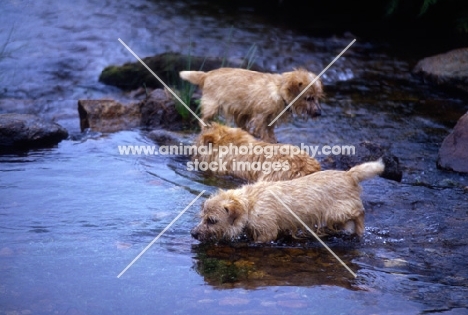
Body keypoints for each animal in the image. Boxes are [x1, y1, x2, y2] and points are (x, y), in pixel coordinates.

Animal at [179, 69, 322, 144]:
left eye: (317, 97)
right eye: (308, 98)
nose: (319, 113)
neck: (278, 90)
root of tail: (207, 74)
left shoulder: (270, 119)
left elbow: (270, 131)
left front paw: (273, 141)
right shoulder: (260, 117)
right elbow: (263, 131)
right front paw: (266, 141)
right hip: (212, 106)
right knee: (202, 120)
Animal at [190, 160, 384, 244]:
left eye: (212, 221)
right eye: (202, 218)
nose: (193, 233)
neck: (250, 204)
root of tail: (349, 175)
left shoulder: (267, 232)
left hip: (336, 213)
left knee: (359, 213)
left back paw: (359, 230)